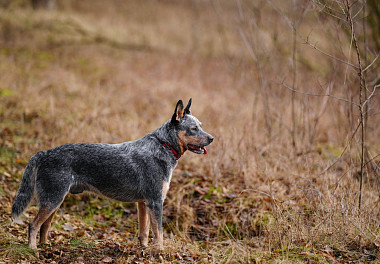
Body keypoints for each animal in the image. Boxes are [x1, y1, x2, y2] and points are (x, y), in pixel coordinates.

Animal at [11, 98, 214, 250]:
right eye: (194, 128)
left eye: (201, 125)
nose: (212, 138)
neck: (163, 145)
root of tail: (44, 152)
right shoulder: (156, 202)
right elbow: (159, 233)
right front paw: (160, 253)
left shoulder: (143, 203)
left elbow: (145, 232)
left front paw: (144, 250)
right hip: (53, 199)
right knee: (33, 225)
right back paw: (33, 250)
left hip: (55, 201)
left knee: (44, 226)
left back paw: (45, 247)